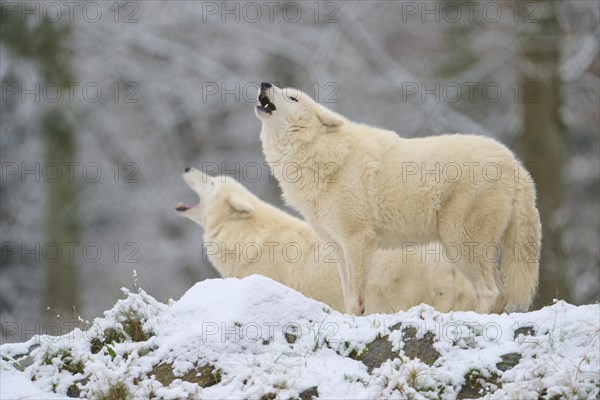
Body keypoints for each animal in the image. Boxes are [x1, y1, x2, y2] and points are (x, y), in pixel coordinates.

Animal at [255, 83, 540, 316]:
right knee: (501, 292)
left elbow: (356, 299)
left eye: (292, 97)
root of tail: (514, 163)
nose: (264, 83)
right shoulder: (338, 246)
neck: (324, 157)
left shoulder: (358, 240)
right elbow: (347, 297)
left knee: (491, 292)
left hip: (458, 243)